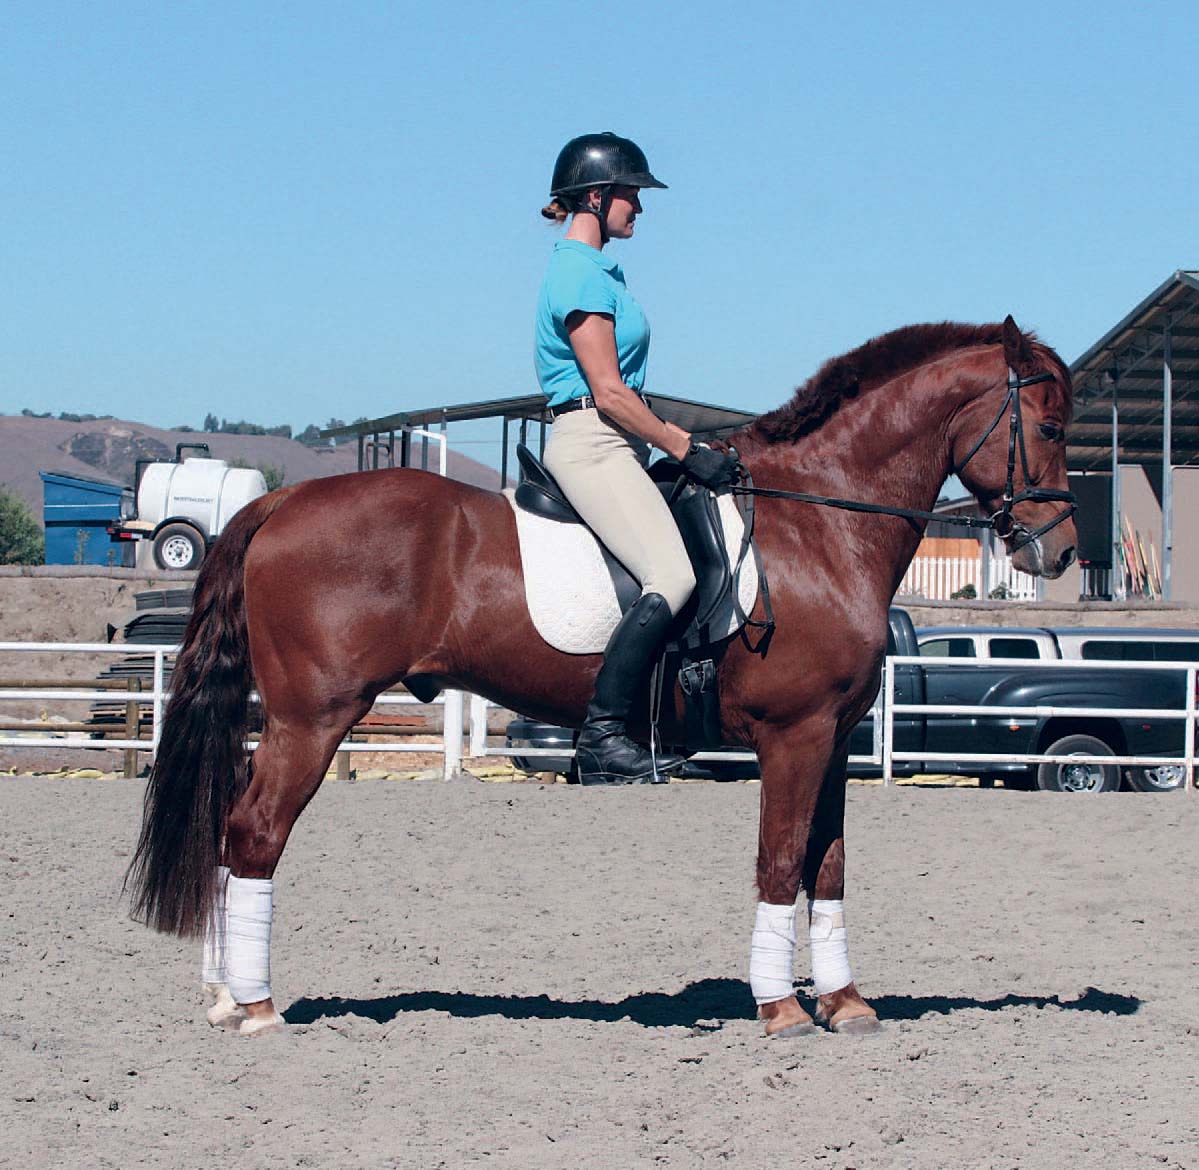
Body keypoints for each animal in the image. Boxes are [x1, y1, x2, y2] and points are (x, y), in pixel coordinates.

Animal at [128, 316, 1079, 1035]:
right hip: (313, 717)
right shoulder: (793, 735)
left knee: (232, 834)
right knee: (253, 833)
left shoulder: (836, 738)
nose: (1060, 551)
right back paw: (256, 1007)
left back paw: (225, 995)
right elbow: (779, 862)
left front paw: (843, 1003)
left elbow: (829, 864)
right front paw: (780, 1011)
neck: (817, 525)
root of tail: (281, 500)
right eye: (1050, 427)